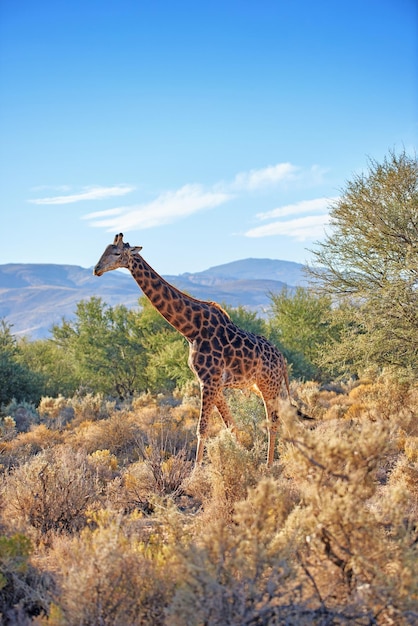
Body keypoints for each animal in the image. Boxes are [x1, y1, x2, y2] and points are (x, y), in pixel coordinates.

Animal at [94, 233, 302, 464]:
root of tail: (282, 359)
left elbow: (202, 429)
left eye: (116, 253)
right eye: (103, 250)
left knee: (272, 421)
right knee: (281, 418)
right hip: (260, 386)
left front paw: (196, 472)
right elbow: (230, 425)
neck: (191, 330)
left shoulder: (209, 381)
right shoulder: (212, 382)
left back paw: (269, 465)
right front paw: (246, 457)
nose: (96, 269)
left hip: (269, 385)